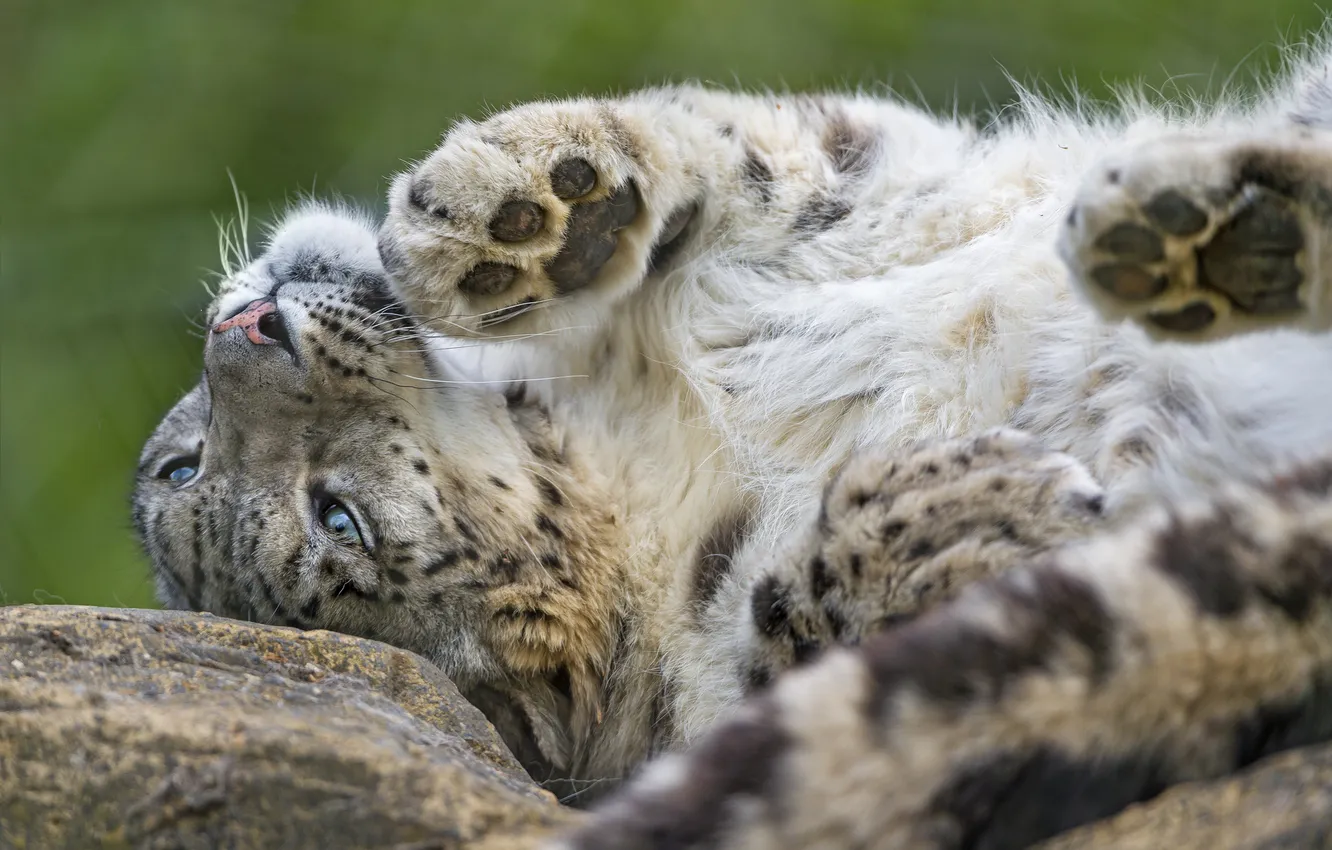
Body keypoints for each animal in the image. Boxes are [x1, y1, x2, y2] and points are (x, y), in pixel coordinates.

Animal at [134, 26, 1332, 849]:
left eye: (177, 464)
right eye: (335, 516)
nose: (251, 330)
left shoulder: (889, 171)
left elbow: (736, 136)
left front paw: (523, 205)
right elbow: (776, 618)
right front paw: (955, 522)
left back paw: (1203, 230)